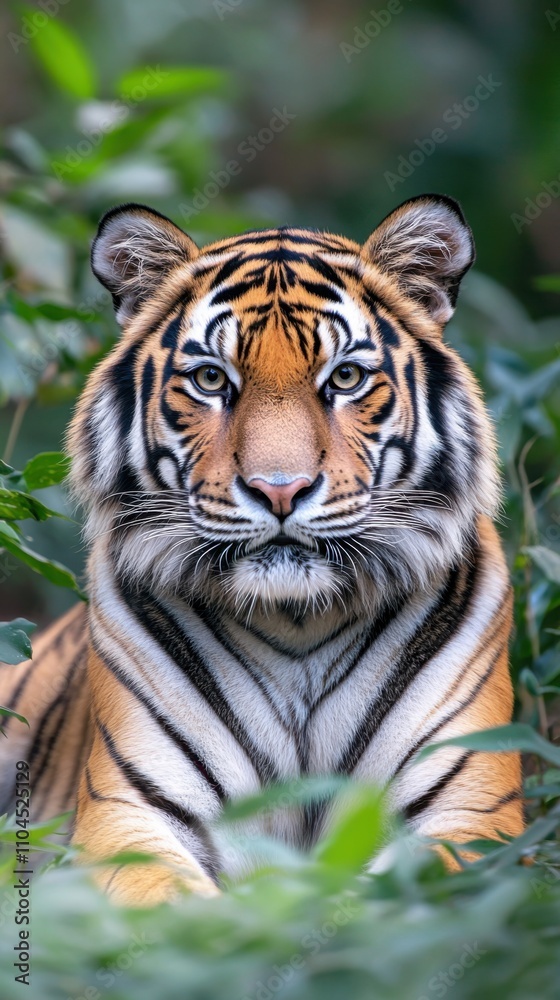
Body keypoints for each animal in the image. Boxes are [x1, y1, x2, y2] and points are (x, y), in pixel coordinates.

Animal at [0, 194, 523, 905]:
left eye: (346, 377)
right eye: (211, 380)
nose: (280, 489)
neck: (297, 621)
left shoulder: (473, 812)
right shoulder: (129, 813)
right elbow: (176, 907)